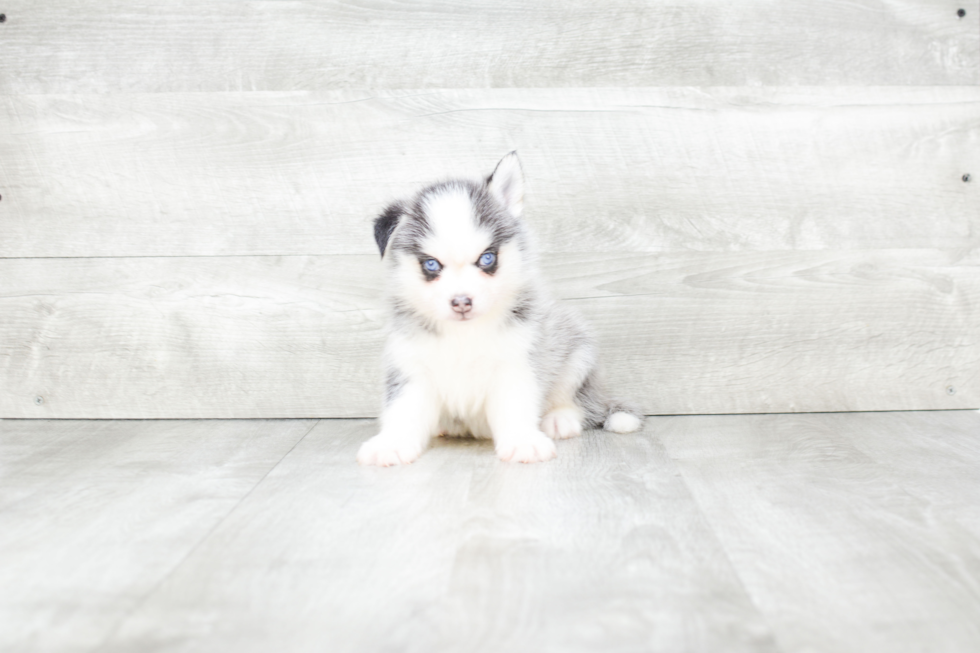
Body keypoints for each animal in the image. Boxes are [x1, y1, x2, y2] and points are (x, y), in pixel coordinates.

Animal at [358, 152, 644, 466]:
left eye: (487, 258)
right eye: (431, 264)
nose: (462, 301)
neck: (463, 334)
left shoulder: (516, 361)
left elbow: (515, 405)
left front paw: (522, 441)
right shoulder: (411, 367)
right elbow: (403, 410)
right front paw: (392, 444)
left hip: (576, 354)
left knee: (576, 401)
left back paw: (560, 419)